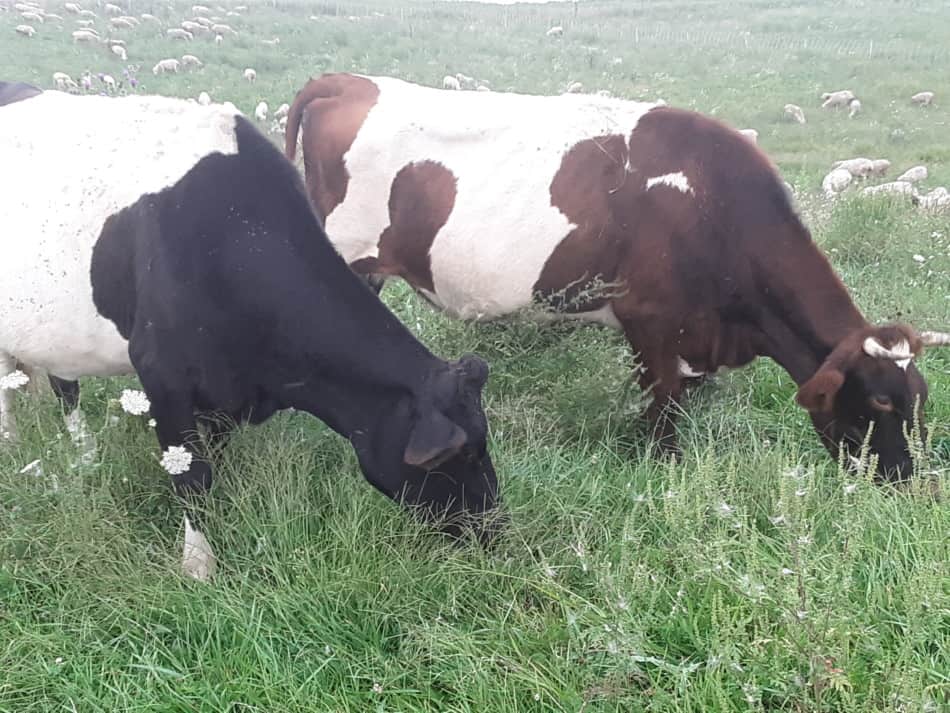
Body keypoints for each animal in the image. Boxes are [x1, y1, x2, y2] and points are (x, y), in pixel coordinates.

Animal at [0, 89, 502, 580]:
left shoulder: (223, 390)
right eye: (464, 454)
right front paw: (198, 566)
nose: (494, 532)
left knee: (58, 381)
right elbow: (192, 475)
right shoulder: (163, 373)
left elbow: (214, 458)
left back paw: (81, 452)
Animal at [284, 72, 950, 482]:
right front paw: (665, 470)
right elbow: (665, 413)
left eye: (920, 398)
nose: (909, 483)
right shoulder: (651, 323)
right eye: (881, 402)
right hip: (349, 257)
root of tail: (349, 81)